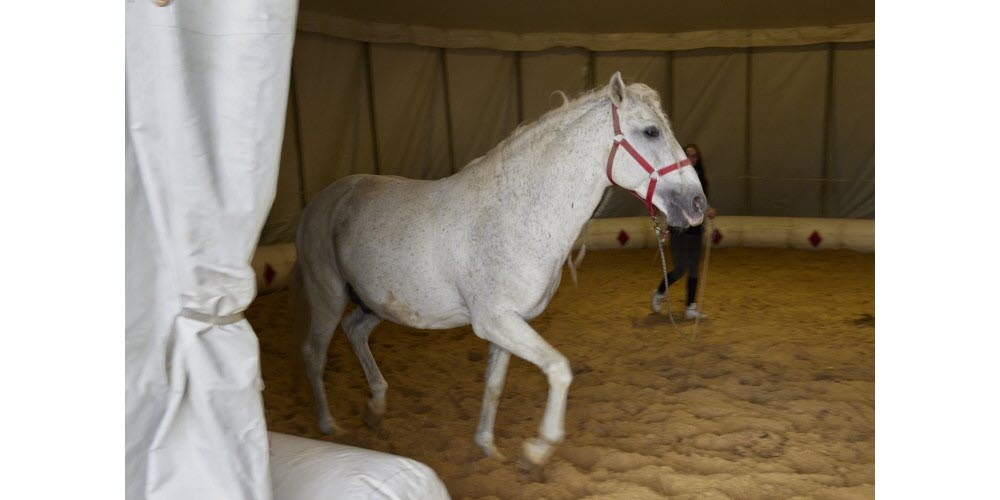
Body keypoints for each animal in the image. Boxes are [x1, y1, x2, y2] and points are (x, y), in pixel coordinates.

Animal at [292, 72, 708, 466]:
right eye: (651, 131)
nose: (697, 204)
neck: (516, 212)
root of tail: (323, 200)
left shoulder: (509, 323)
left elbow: (493, 386)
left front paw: (488, 447)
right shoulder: (495, 321)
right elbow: (559, 369)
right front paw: (538, 450)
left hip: (374, 303)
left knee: (354, 331)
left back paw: (376, 407)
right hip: (328, 297)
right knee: (314, 353)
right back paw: (328, 424)